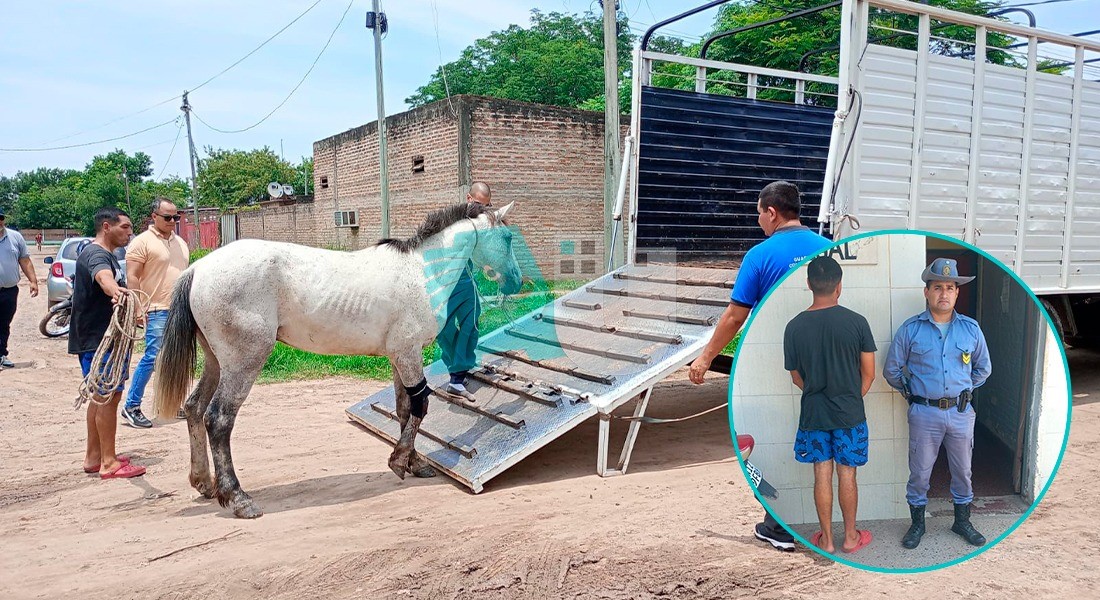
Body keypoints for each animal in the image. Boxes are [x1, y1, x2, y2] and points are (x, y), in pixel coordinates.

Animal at [151, 200, 523, 515]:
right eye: (507, 237)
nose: (517, 282)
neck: (422, 272)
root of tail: (198, 269)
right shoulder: (408, 353)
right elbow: (421, 406)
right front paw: (400, 461)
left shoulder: (399, 356)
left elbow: (404, 410)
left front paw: (414, 463)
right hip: (243, 363)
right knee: (218, 419)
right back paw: (237, 497)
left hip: (217, 361)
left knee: (194, 408)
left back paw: (204, 483)